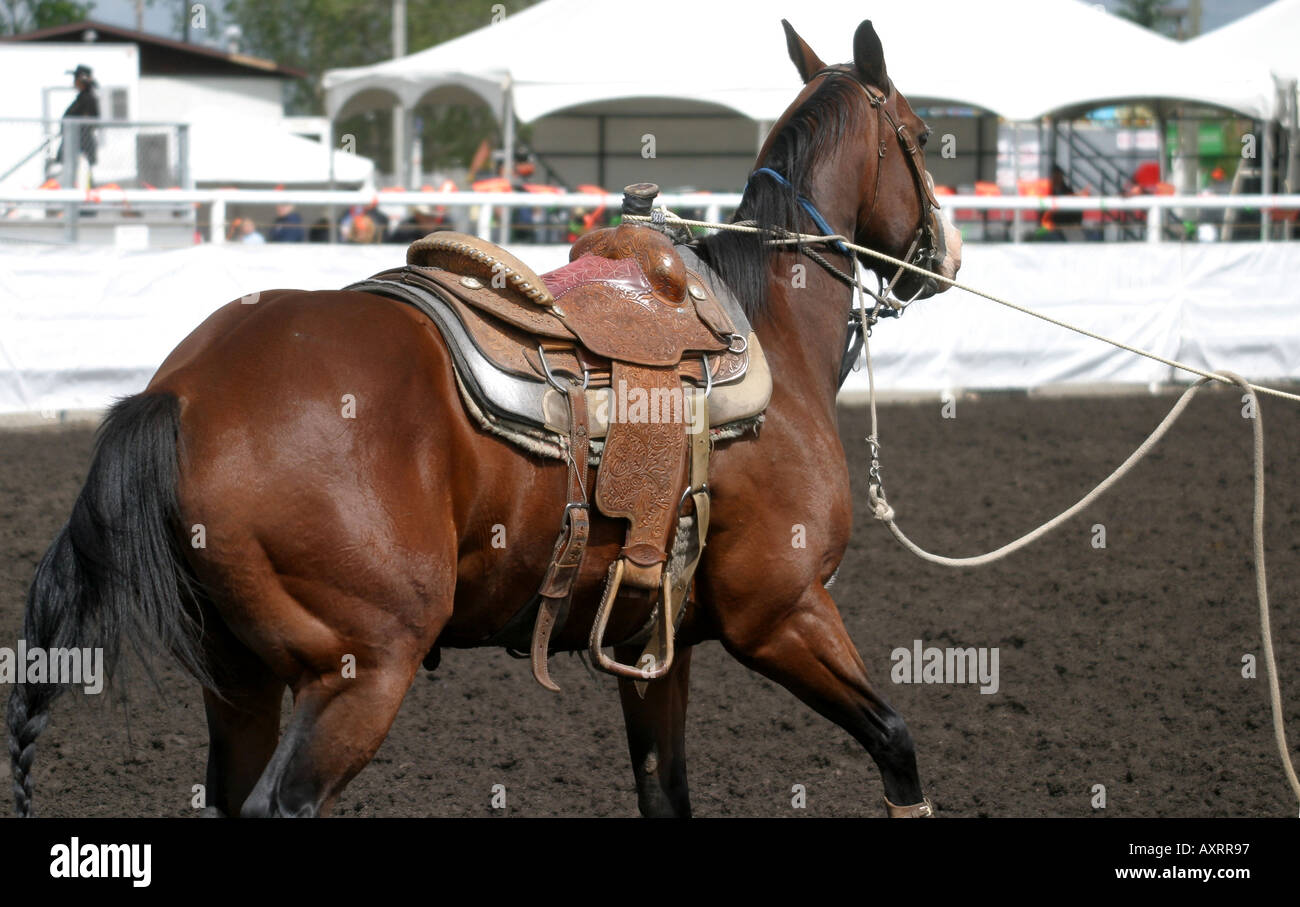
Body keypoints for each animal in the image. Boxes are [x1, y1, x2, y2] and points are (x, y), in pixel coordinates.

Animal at [7, 19, 960, 818]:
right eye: (919, 136)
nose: (945, 256)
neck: (764, 329)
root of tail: (182, 392)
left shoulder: (658, 645)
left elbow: (666, 791)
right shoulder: (784, 613)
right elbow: (897, 743)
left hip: (238, 682)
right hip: (360, 671)